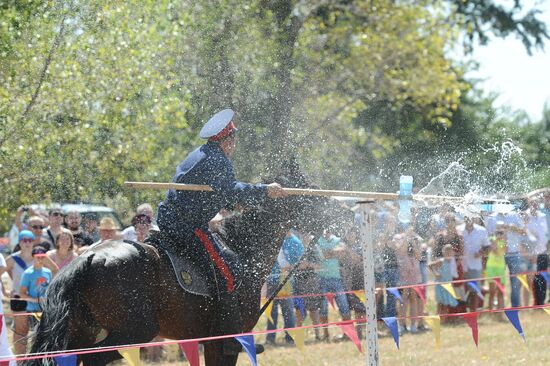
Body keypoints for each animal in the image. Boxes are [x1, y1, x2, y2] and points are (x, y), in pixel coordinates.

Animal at [24, 167, 354, 364]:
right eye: (310, 196)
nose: (347, 215)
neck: (240, 249)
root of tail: (86, 258)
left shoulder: (210, 342)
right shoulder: (226, 342)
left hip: (81, 331)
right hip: (133, 331)